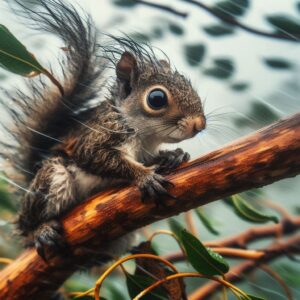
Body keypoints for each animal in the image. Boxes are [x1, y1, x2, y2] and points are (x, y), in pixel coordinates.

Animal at [0, 0, 206, 262]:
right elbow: (99, 157)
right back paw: (40, 230)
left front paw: (173, 155)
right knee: (28, 227)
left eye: (187, 83)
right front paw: (144, 176)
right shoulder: (97, 137)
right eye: (157, 99)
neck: (143, 135)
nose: (199, 124)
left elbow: (152, 157)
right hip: (51, 179)